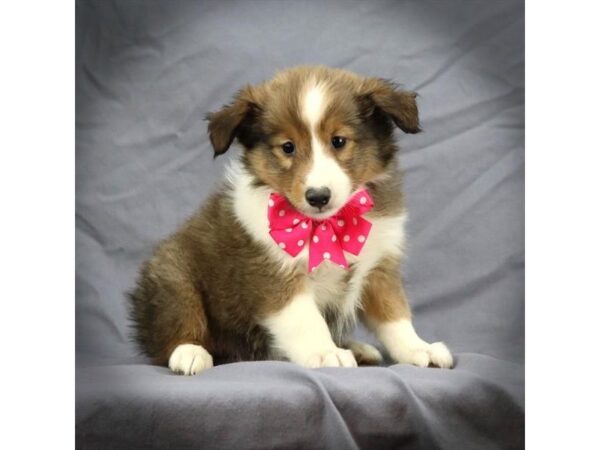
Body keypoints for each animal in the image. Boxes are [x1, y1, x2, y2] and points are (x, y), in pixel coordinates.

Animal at [129, 65, 452, 374]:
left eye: (339, 141)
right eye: (287, 147)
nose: (318, 196)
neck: (330, 225)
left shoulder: (379, 267)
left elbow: (394, 315)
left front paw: (419, 349)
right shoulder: (275, 273)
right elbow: (305, 320)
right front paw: (325, 353)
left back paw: (357, 348)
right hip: (173, 275)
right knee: (177, 324)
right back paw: (190, 352)